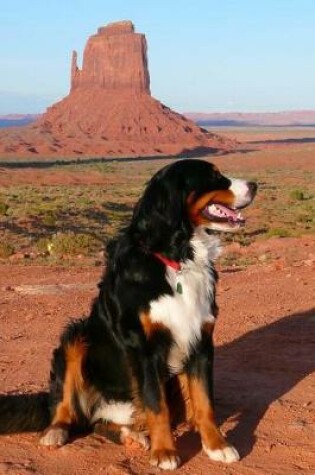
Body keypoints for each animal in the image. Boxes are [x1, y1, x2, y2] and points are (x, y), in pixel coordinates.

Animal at [0, 159, 256, 468]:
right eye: (213, 176)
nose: (255, 185)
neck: (177, 258)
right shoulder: (144, 348)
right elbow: (156, 404)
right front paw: (165, 452)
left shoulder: (201, 341)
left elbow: (205, 402)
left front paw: (217, 446)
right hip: (74, 338)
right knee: (67, 407)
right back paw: (58, 431)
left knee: (102, 424)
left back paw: (132, 435)